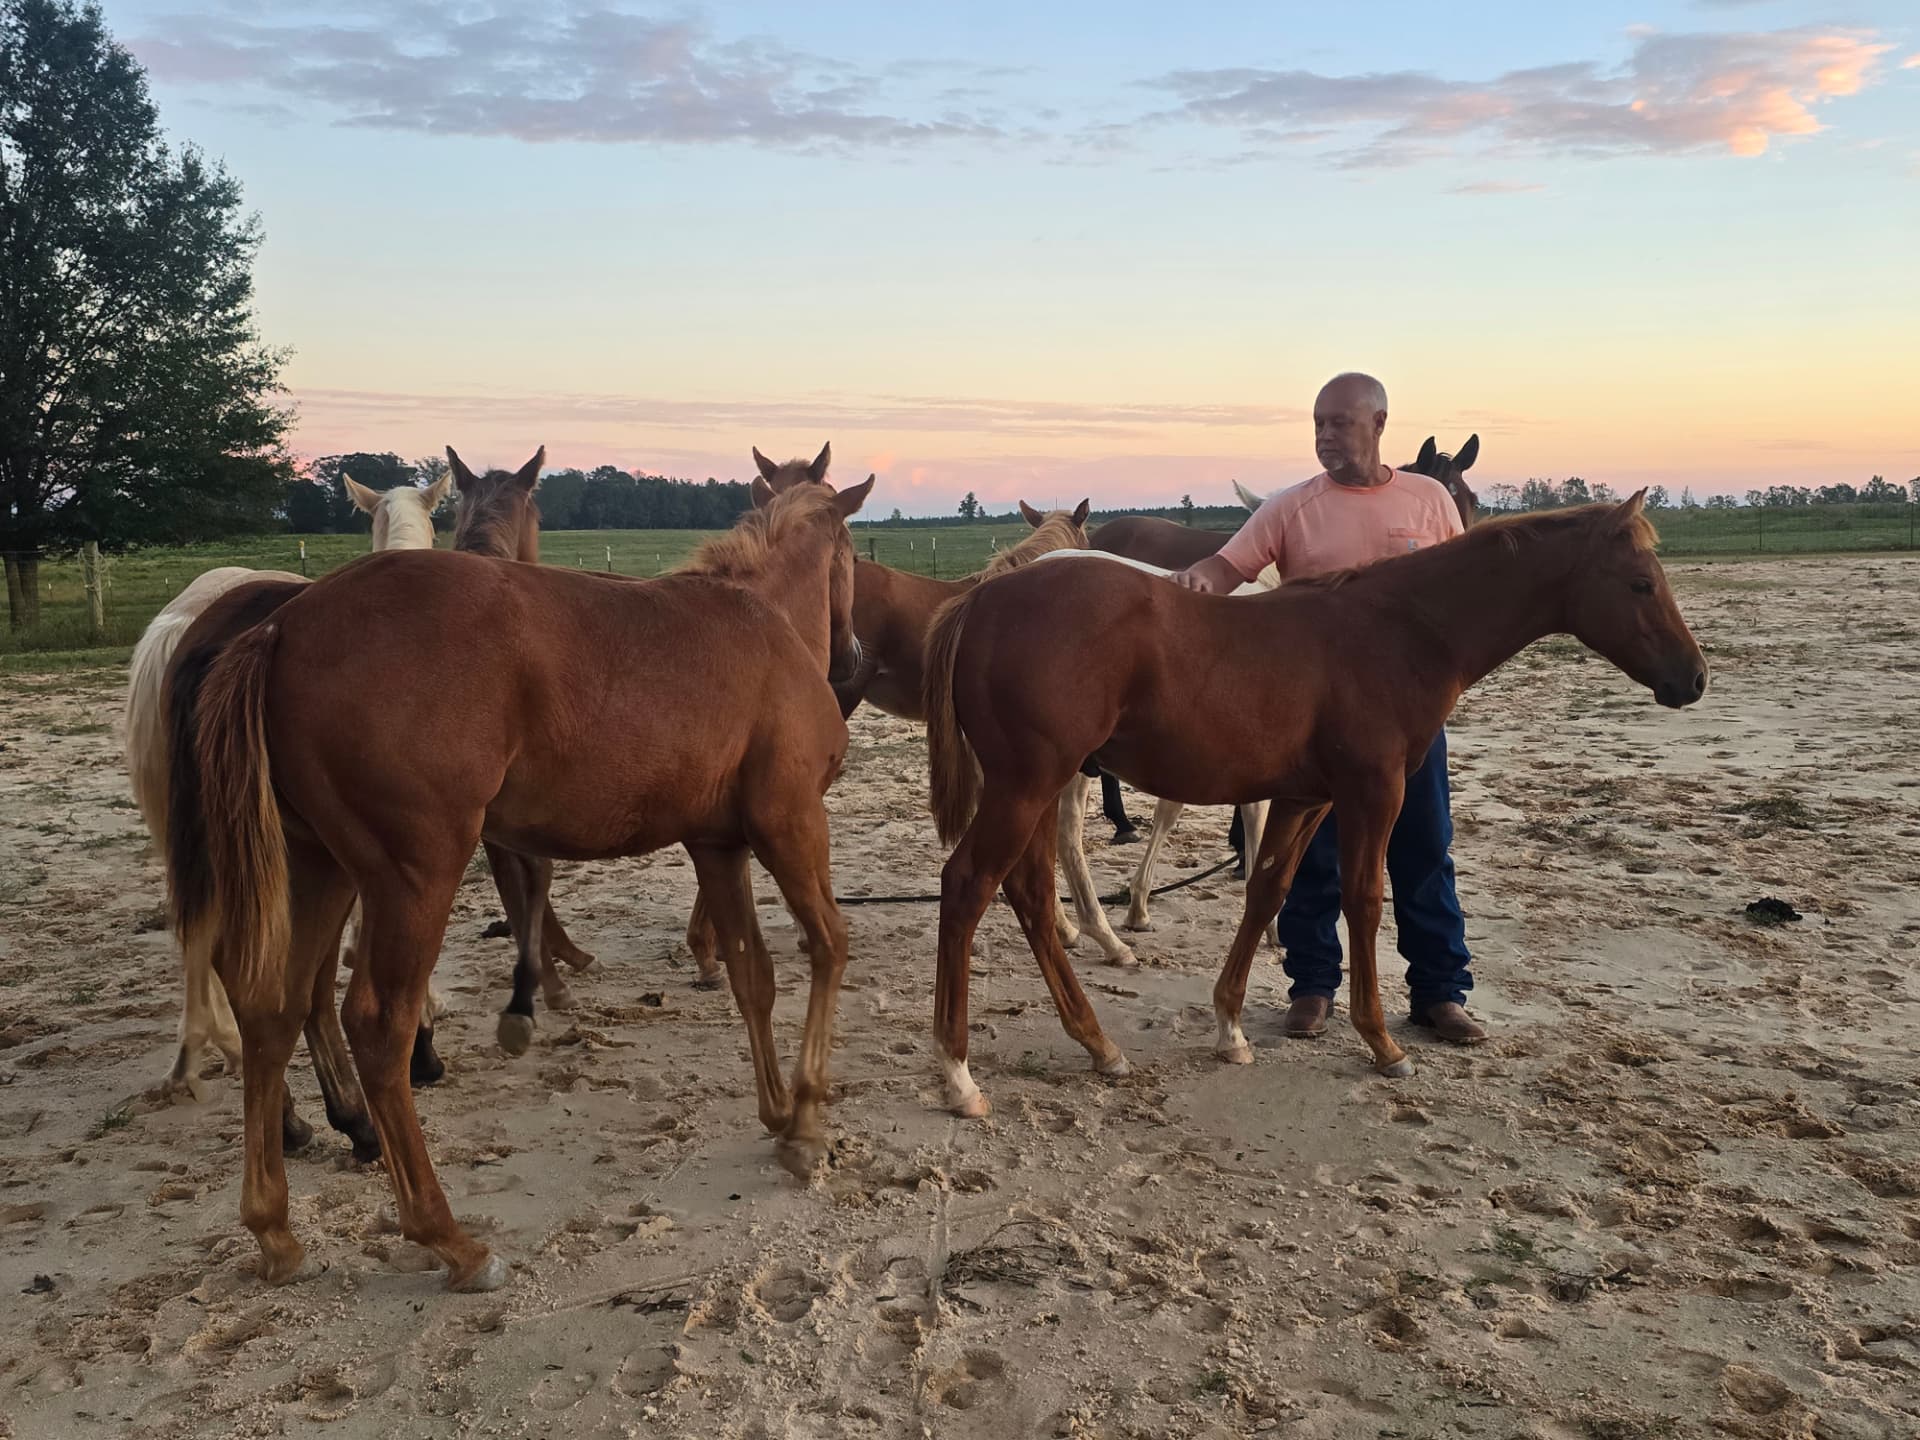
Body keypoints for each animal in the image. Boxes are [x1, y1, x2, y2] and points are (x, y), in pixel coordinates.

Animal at [164, 473, 872, 1291]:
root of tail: (280, 629)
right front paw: (808, 1123)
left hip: (318, 868)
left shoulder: (717, 844)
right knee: (377, 1025)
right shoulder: (791, 822)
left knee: (273, 1010)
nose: (853, 650)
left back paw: (274, 1229)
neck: (758, 622)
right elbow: (828, 946)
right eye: (849, 547)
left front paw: (779, 1111)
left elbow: (751, 976)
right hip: (414, 875)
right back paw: (448, 1238)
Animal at [921, 495, 1706, 1118]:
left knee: (1029, 893)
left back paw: (1097, 1042)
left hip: (1032, 788)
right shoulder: (1373, 791)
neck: (1398, 630)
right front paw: (1383, 1042)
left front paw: (1231, 1029)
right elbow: (1363, 901)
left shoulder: (1307, 798)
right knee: (968, 886)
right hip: (1028, 784)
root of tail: (984, 598)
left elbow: (1268, 893)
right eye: (1641, 582)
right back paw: (959, 1076)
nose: (1693, 678)